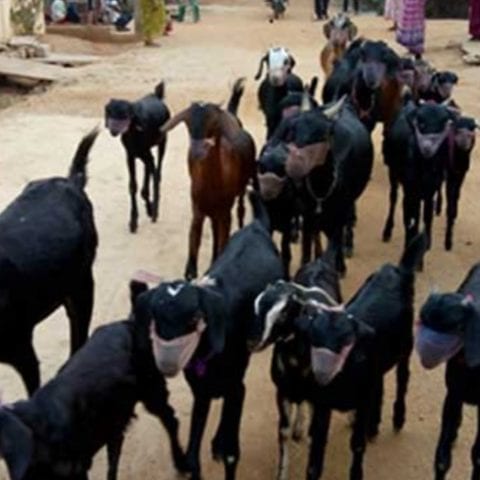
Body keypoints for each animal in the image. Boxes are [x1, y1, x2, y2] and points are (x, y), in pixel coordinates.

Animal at [105, 81, 170, 233]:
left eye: (125, 114)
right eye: (110, 111)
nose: (113, 130)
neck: (134, 132)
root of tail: (156, 95)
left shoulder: (145, 152)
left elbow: (154, 174)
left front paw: (154, 210)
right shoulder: (130, 155)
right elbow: (133, 186)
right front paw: (134, 221)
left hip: (163, 141)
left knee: (157, 167)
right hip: (144, 153)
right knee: (149, 169)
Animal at [133, 192, 284, 480]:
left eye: (194, 318)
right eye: (156, 317)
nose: (167, 363)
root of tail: (255, 225)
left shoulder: (236, 388)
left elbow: (232, 453)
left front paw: (222, 446)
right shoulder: (201, 390)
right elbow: (193, 457)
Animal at [161, 78, 256, 280]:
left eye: (213, 122)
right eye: (188, 123)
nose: (197, 151)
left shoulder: (225, 214)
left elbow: (223, 245)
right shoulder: (198, 210)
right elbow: (194, 245)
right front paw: (192, 270)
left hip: (240, 192)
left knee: (241, 209)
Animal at [251, 233, 427, 480]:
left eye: (285, 312)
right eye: (257, 306)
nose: (253, 340)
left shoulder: (335, 401)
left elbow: (348, 444)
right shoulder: (289, 393)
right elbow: (290, 436)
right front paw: (283, 472)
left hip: (406, 348)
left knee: (402, 378)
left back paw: (395, 419)